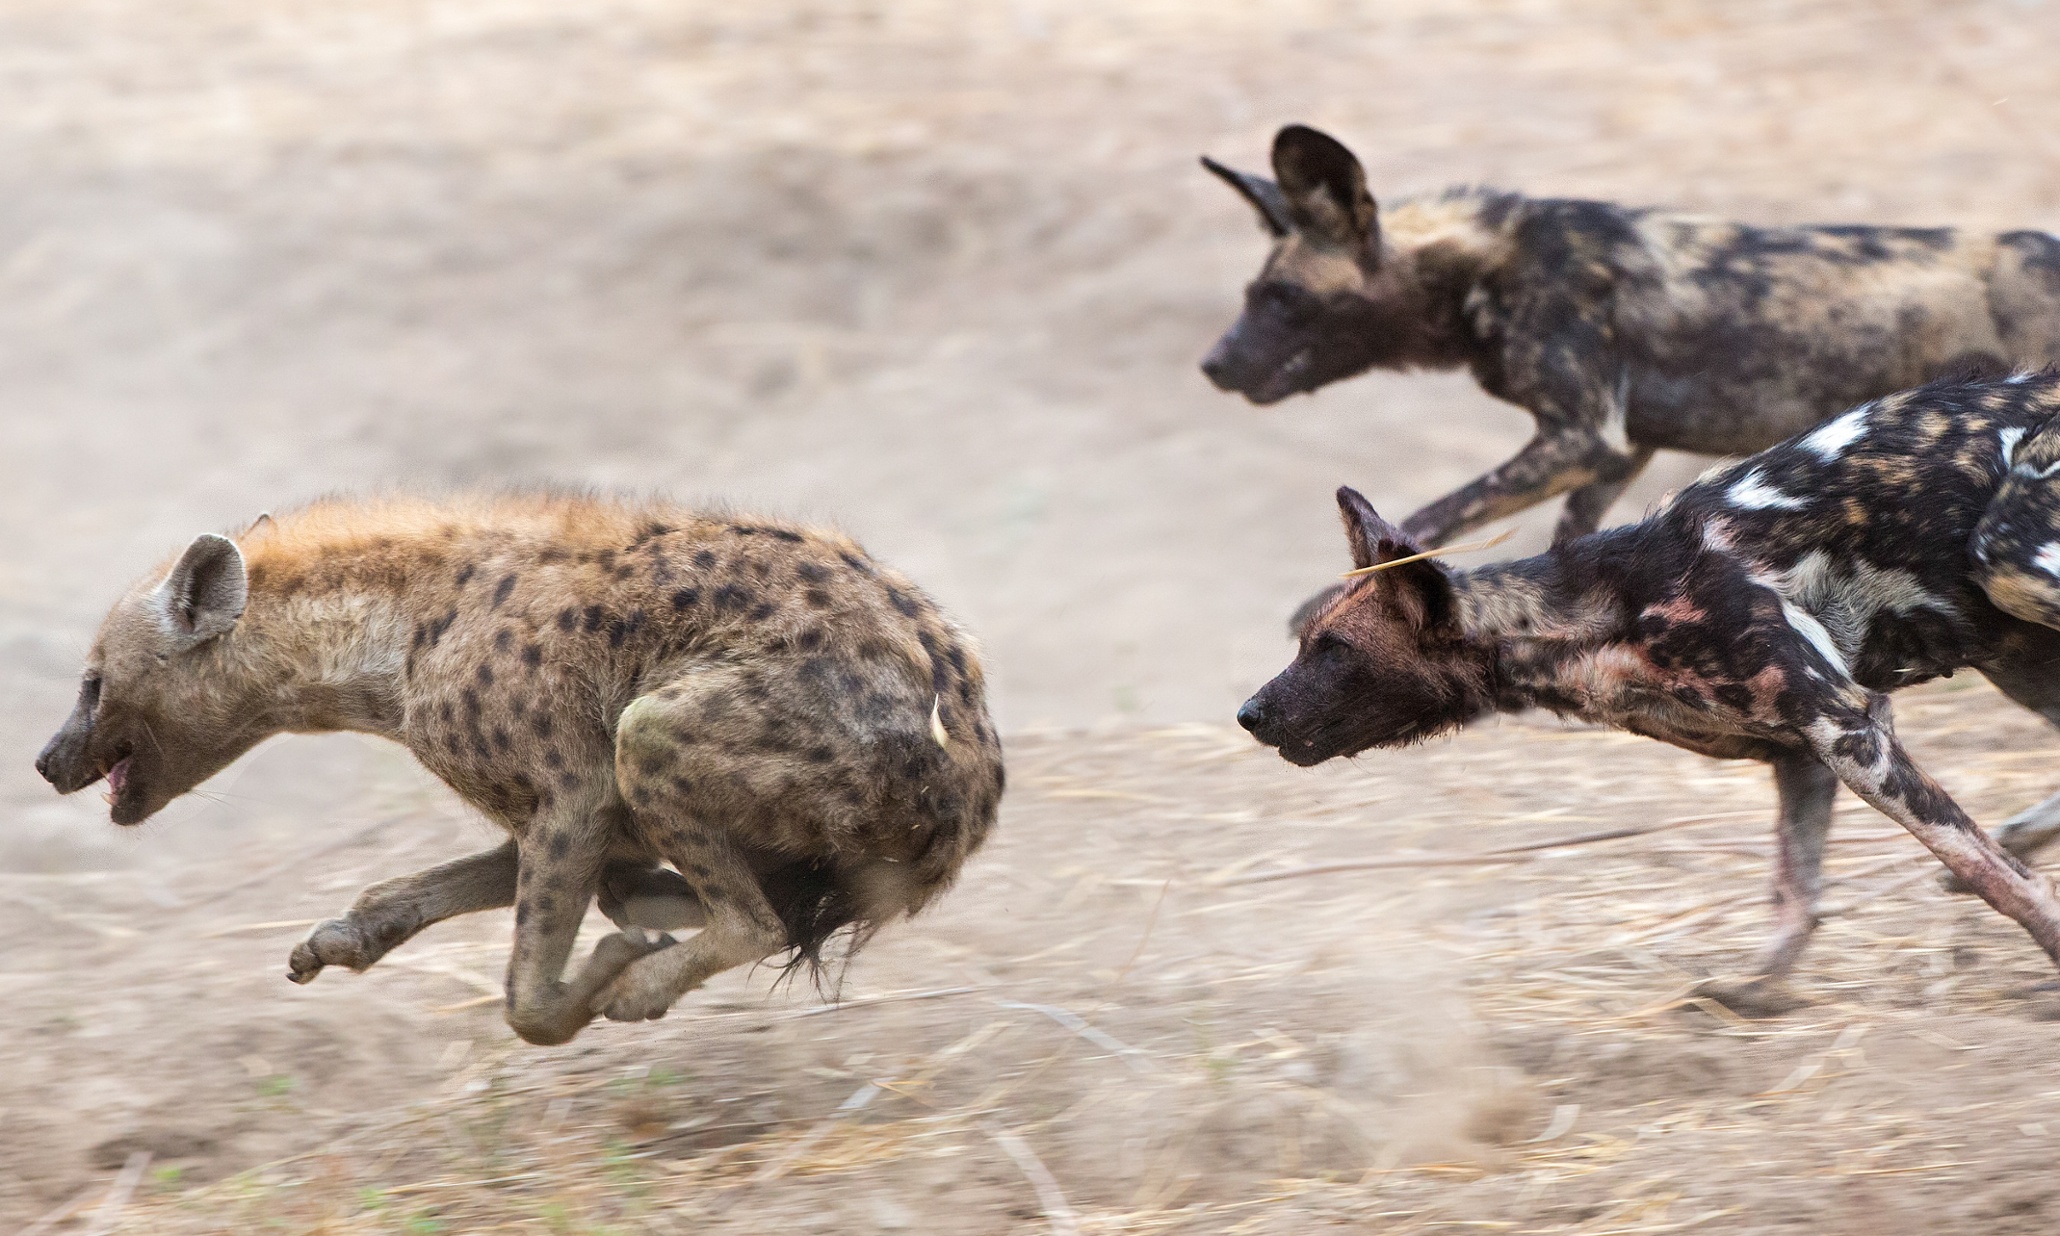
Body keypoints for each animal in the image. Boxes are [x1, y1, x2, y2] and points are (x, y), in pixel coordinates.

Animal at [32, 492, 997, 1042]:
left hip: (673, 732)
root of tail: (974, 792)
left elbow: (526, 994)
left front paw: (601, 982)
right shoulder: (554, 813)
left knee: (754, 916)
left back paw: (639, 979)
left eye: (92, 681)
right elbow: (449, 883)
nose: (44, 760)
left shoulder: (574, 789)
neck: (389, 640)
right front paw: (335, 941)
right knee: (773, 900)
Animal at [1203, 123, 2060, 568]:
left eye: (1282, 298)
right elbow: (1571, 543)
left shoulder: (1582, 438)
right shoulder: (1619, 449)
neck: (1479, 268)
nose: (1212, 365)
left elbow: (1435, 514)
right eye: (1253, 292)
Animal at [1227, 376, 2060, 1013]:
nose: (1249, 714)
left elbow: (1992, 875)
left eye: (1334, 650)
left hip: (2011, 568)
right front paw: (1757, 994)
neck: (1592, 620)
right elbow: (1796, 897)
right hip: (2020, 654)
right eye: (1304, 644)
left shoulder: (1849, 729)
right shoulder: (1805, 754)